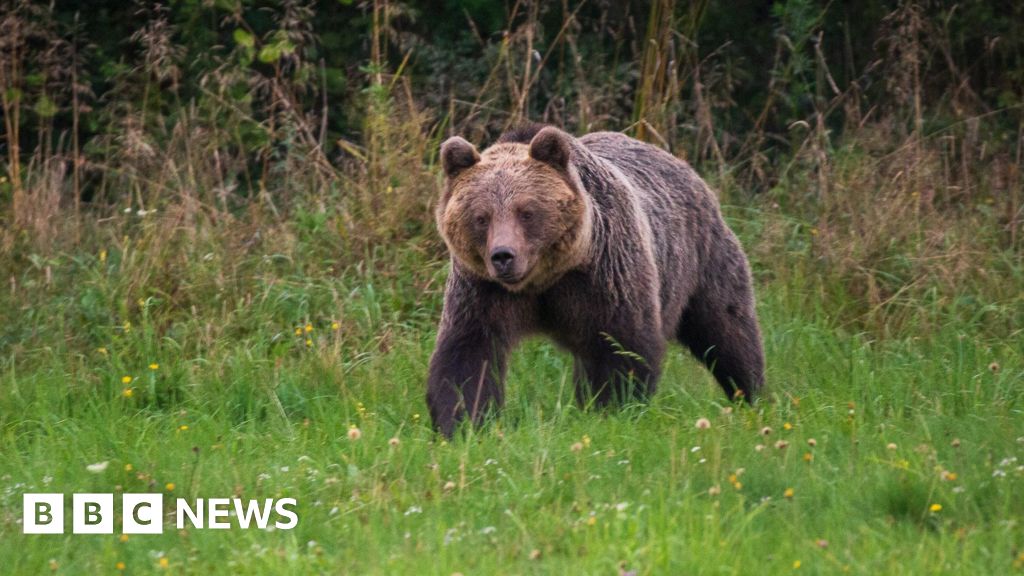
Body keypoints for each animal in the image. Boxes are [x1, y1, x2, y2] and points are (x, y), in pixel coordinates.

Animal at [427, 124, 764, 437]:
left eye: (527, 211)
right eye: (481, 217)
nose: (503, 256)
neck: (545, 278)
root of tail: (682, 165)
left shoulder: (603, 276)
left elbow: (621, 346)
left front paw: (611, 409)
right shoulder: (483, 289)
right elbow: (468, 354)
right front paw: (462, 423)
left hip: (701, 259)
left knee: (726, 328)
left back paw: (751, 393)